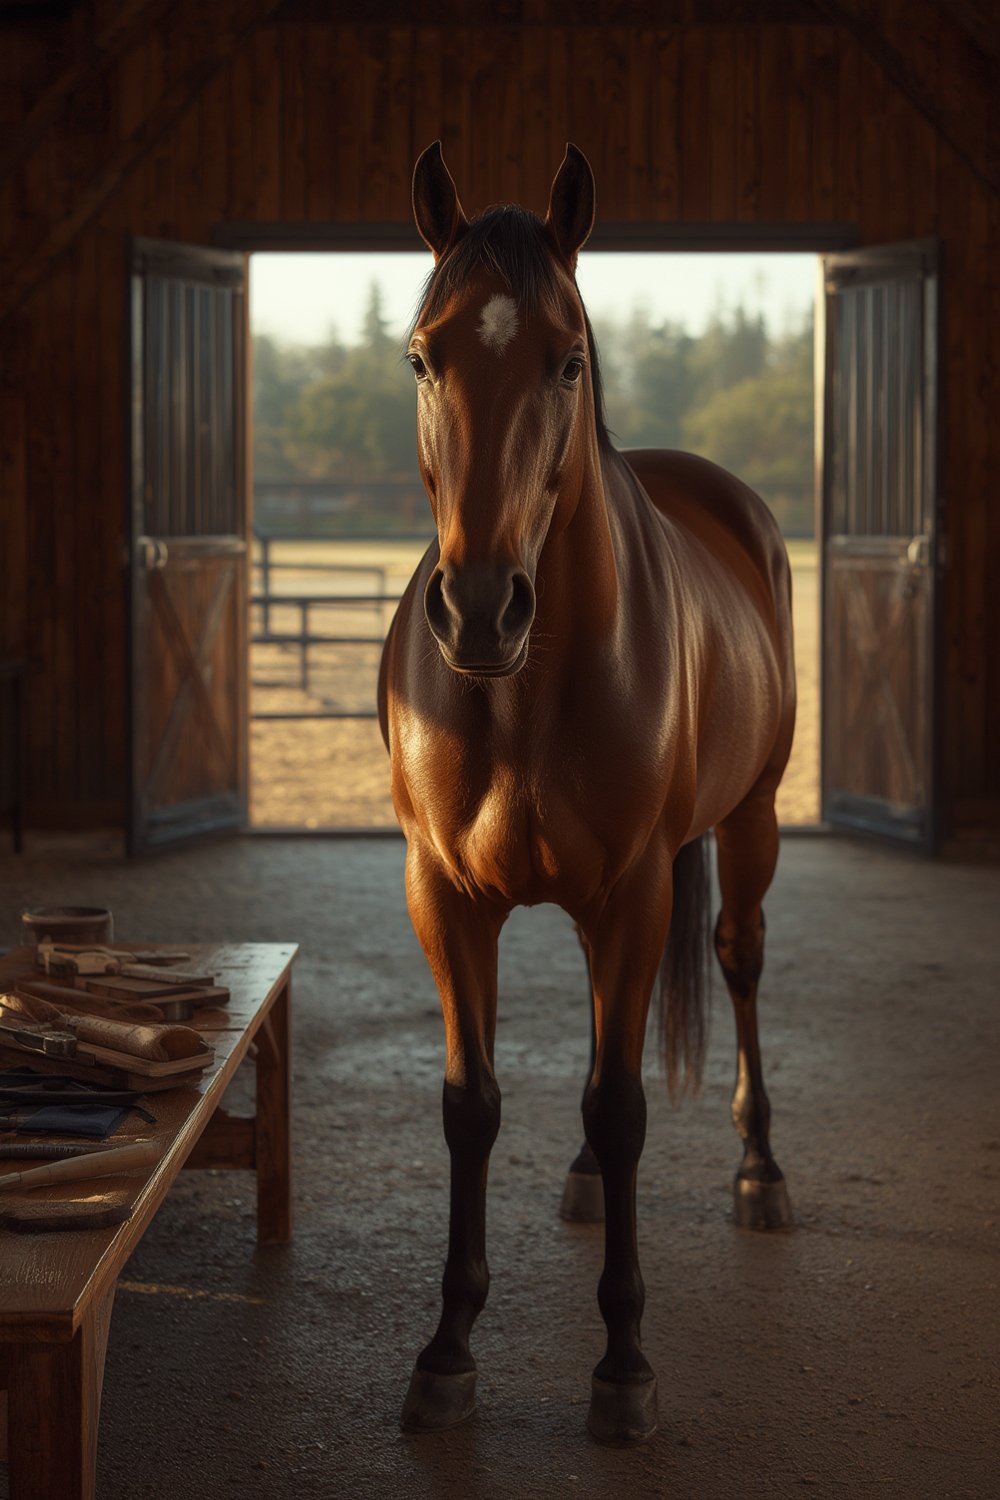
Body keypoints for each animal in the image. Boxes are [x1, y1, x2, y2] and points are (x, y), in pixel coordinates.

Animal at [377, 140, 796, 1445]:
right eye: (422, 355)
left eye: (568, 358)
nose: (478, 611)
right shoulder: (445, 899)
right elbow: (470, 1104)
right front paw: (446, 1351)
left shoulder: (632, 894)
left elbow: (622, 1108)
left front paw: (623, 1367)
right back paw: (576, 1183)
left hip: (748, 827)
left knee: (738, 962)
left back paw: (761, 1171)